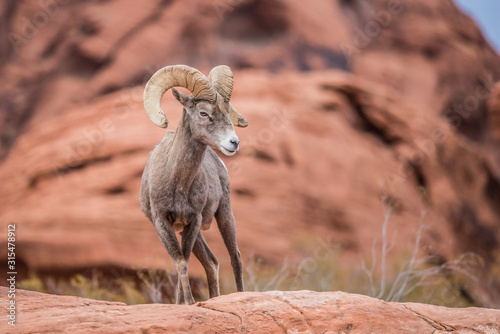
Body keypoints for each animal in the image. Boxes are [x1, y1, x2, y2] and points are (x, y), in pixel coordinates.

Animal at [140, 64, 247, 304]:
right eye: (203, 113)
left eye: (227, 111)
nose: (234, 143)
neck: (177, 183)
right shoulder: (163, 223)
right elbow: (180, 261)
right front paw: (184, 303)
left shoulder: (193, 221)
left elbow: (185, 259)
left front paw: (185, 302)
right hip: (198, 231)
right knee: (212, 262)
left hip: (224, 214)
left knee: (234, 256)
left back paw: (242, 295)